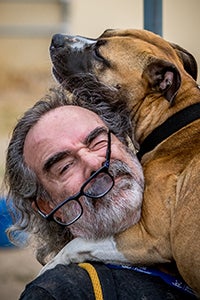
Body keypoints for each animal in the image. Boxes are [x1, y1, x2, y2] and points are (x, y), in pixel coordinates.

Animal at [48, 29, 200, 294]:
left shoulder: (148, 238)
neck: (172, 116)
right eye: (103, 33)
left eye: (99, 53)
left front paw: (51, 264)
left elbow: (78, 242)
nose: (56, 38)